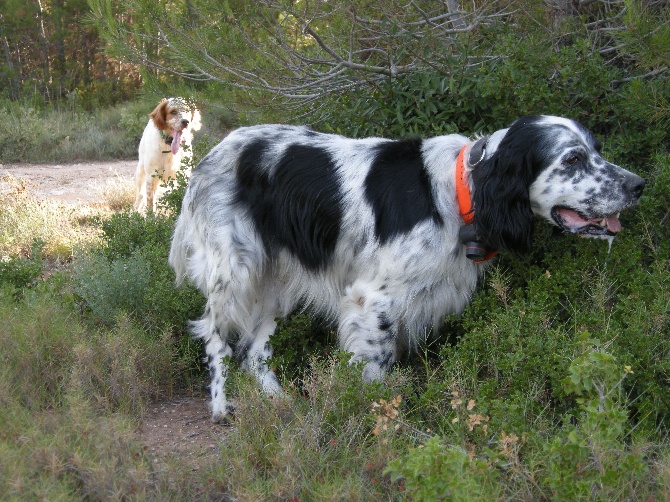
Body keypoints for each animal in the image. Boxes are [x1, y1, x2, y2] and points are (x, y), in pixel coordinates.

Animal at [171, 115, 648, 422]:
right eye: (572, 159)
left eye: (597, 151)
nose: (638, 185)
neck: (459, 192)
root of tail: (208, 157)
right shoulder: (373, 301)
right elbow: (378, 369)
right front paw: (385, 424)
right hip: (236, 271)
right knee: (216, 338)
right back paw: (220, 407)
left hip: (276, 279)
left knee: (255, 350)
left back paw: (279, 401)